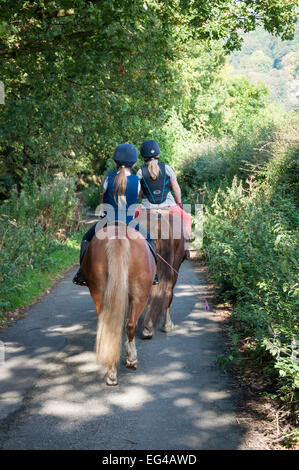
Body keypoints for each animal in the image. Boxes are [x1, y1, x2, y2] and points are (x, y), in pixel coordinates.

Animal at [81, 224, 156, 386]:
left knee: (110, 328)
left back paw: (111, 373)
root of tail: (118, 234)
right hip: (140, 296)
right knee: (131, 325)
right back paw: (131, 360)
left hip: (99, 294)